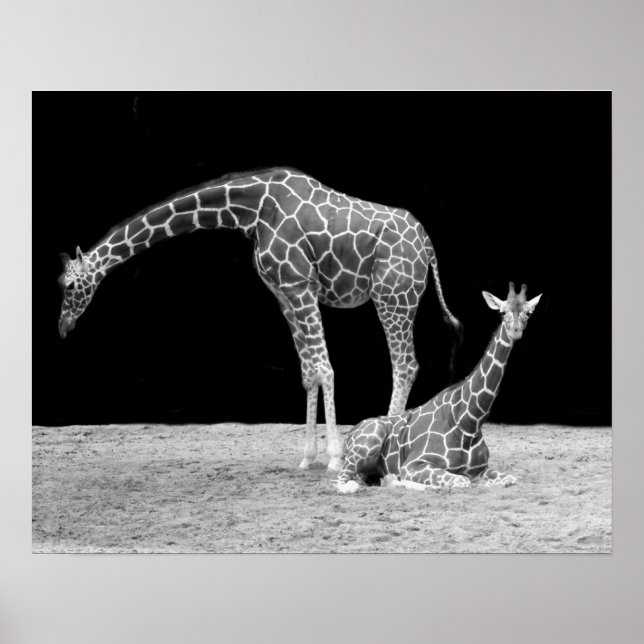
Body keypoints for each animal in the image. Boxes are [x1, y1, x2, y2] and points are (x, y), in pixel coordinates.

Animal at [57, 167, 462, 471]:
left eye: (71, 284)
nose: (62, 327)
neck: (252, 210)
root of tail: (428, 245)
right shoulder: (284, 294)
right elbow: (309, 372)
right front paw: (307, 458)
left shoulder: (300, 285)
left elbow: (326, 368)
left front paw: (333, 458)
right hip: (395, 297)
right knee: (404, 364)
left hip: (393, 296)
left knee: (405, 364)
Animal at [334, 282, 542, 492]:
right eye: (502, 311)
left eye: (528, 312)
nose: (515, 330)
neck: (469, 421)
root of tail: (349, 435)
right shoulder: (414, 464)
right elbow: (462, 481)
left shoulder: (480, 469)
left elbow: (509, 479)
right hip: (368, 443)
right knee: (342, 482)